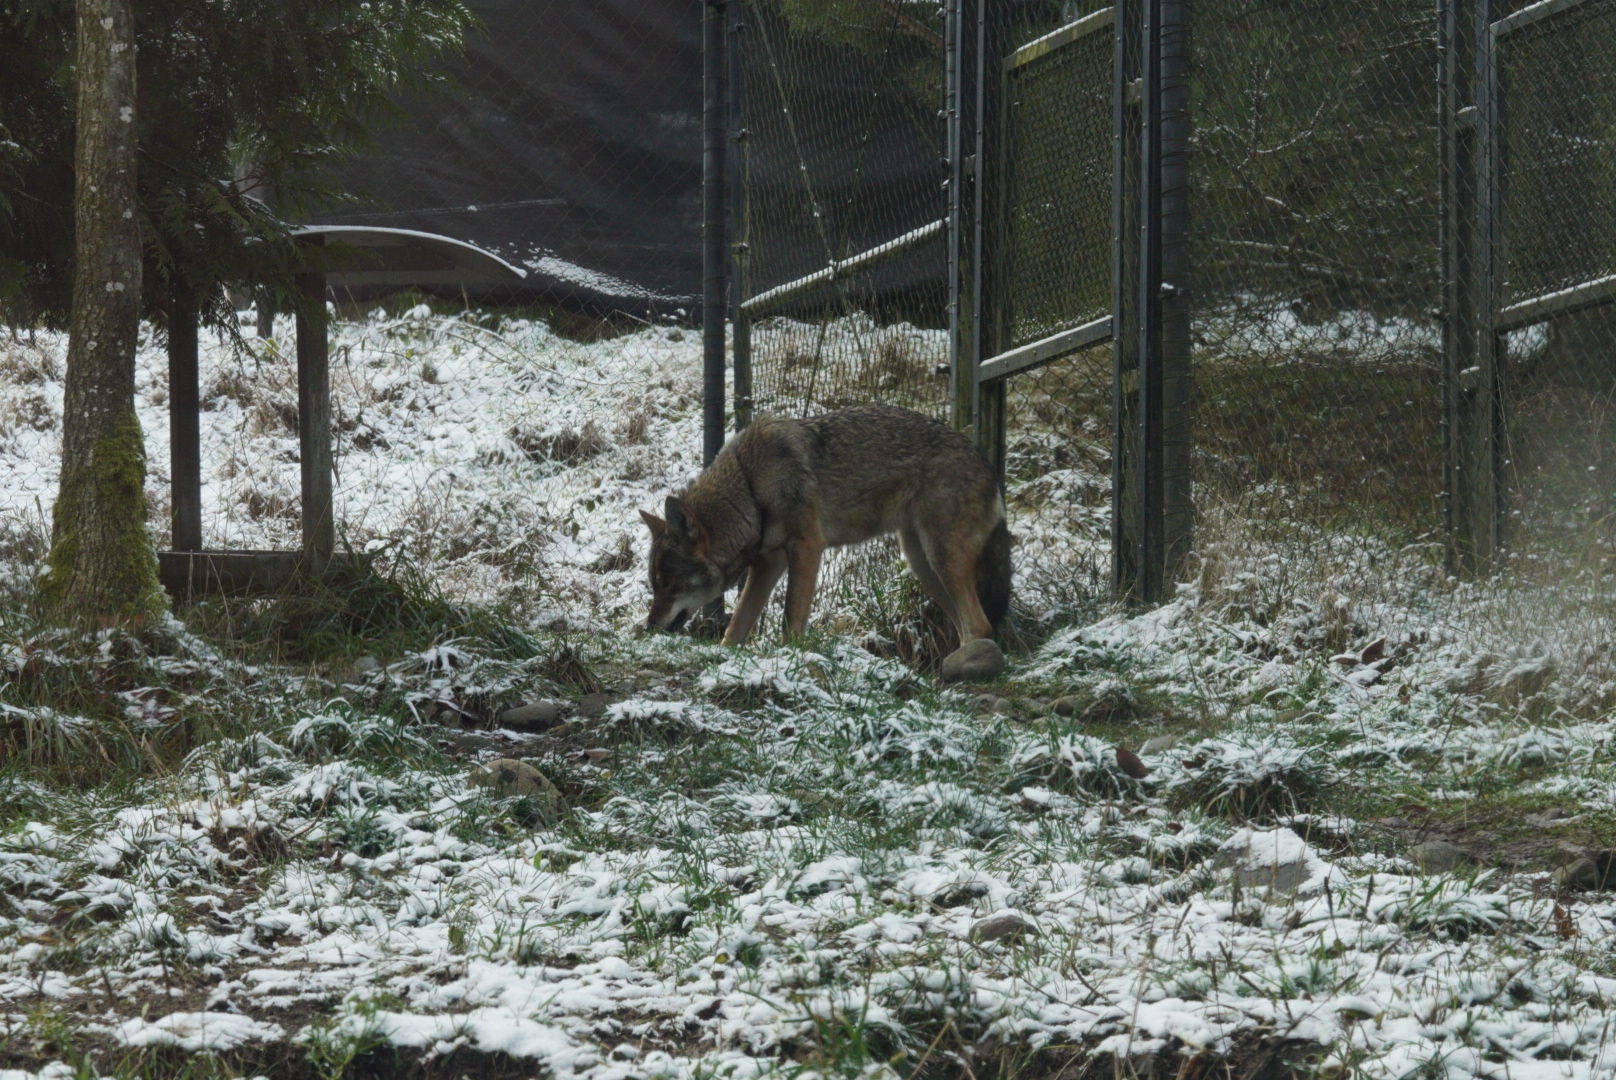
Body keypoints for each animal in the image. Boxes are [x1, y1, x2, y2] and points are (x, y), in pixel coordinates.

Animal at [639, 403, 1011, 647]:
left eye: (667, 583)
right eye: (655, 585)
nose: (649, 626)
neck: (750, 484)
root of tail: (989, 465)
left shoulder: (806, 548)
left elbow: (790, 621)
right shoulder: (768, 562)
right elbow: (737, 627)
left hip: (941, 559)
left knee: (978, 626)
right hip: (924, 565)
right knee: (970, 626)